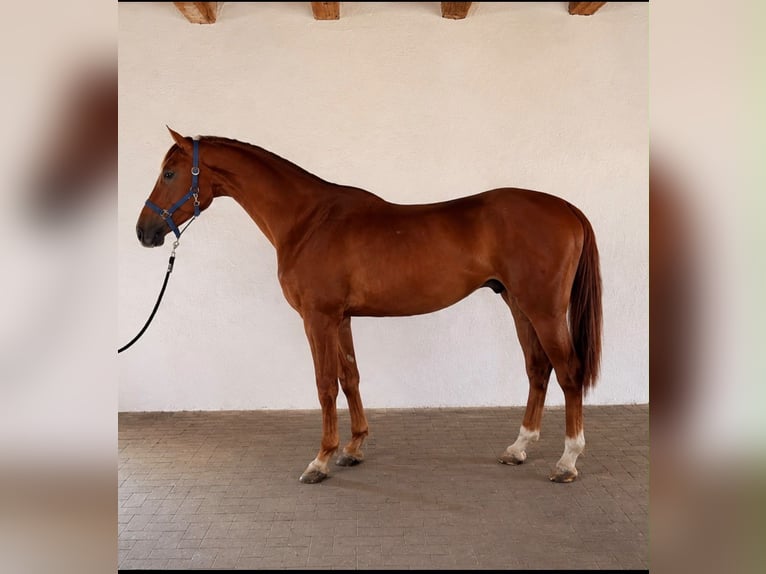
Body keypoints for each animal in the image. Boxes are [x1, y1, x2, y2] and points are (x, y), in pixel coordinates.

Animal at [134, 127, 603, 484]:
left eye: (170, 172)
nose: (144, 232)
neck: (308, 221)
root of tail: (567, 208)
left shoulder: (317, 319)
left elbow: (325, 384)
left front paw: (321, 460)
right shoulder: (340, 319)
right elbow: (350, 377)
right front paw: (354, 448)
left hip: (543, 310)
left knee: (569, 372)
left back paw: (567, 461)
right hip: (518, 305)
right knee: (538, 369)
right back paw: (518, 448)